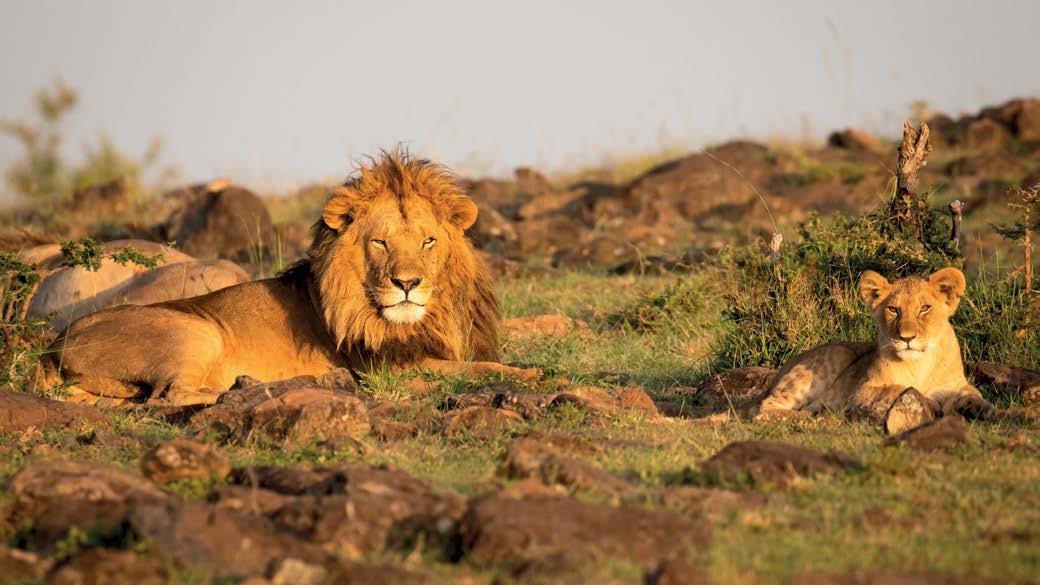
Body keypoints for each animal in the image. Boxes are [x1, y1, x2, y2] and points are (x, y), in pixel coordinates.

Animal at [44, 151, 534, 405]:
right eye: (380, 243)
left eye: (429, 242)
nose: (407, 284)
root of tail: (54, 345)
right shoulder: (388, 368)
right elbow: (476, 369)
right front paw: (534, 375)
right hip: (197, 332)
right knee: (172, 396)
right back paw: (250, 388)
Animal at [755, 267, 995, 434]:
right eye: (893, 309)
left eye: (925, 308)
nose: (906, 338)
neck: (920, 364)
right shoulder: (861, 392)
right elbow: (900, 389)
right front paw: (929, 403)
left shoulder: (954, 384)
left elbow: (973, 392)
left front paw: (980, 407)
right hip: (834, 356)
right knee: (763, 409)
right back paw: (814, 416)